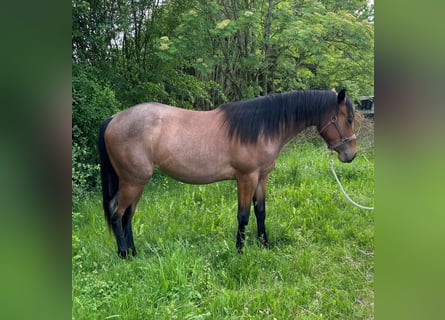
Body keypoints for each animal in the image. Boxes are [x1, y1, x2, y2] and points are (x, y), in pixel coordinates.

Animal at [99, 89, 356, 258]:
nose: (351, 154)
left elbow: (260, 212)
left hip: (136, 182)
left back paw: (134, 253)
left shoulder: (261, 178)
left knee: (127, 216)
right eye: (349, 118)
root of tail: (114, 118)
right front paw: (239, 251)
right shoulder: (246, 178)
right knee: (117, 214)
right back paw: (124, 254)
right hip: (133, 181)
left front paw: (264, 245)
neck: (261, 127)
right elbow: (243, 216)